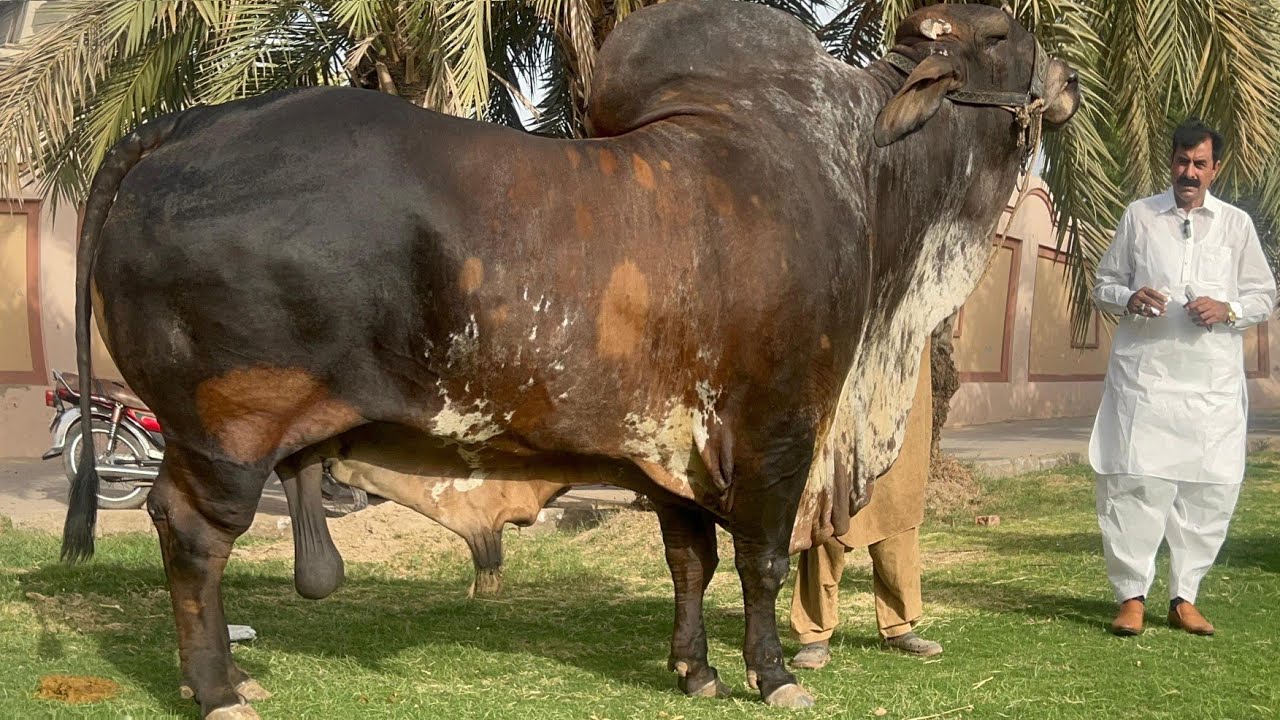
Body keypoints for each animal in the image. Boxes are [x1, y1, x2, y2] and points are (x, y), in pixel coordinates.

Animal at [62, 1, 1079, 716]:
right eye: (1000, 31)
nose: (1067, 79)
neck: (869, 168)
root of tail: (186, 124)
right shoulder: (780, 431)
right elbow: (758, 562)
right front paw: (775, 674)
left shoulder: (674, 447)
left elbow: (689, 562)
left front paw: (695, 671)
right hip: (227, 433)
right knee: (191, 537)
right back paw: (218, 691)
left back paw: (227, 680)